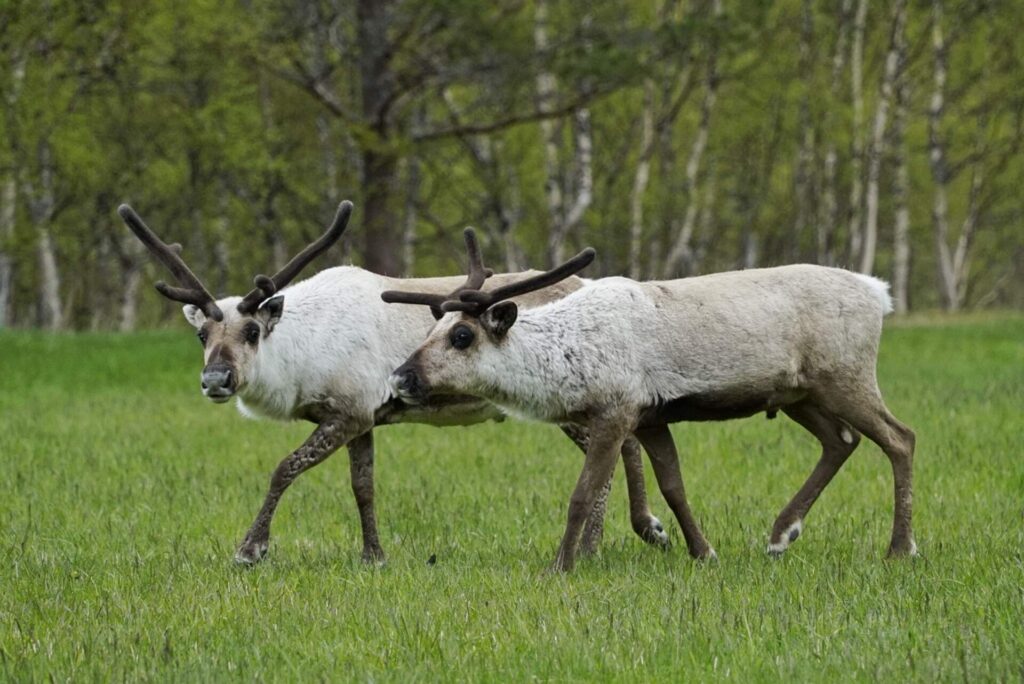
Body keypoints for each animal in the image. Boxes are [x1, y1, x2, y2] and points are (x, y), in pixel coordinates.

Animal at [117, 201, 668, 565]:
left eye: (251, 331)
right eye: (201, 334)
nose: (215, 379)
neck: (303, 346)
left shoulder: (348, 411)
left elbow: (283, 469)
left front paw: (251, 549)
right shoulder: (361, 418)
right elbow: (363, 486)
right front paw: (373, 555)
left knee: (620, 447)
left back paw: (616, 541)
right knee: (624, 445)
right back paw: (633, 533)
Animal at [383, 241, 917, 572]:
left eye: (462, 335)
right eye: (433, 327)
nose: (400, 377)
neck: (568, 354)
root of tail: (879, 293)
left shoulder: (616, 412)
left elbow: (582, 495)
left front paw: (560, 566)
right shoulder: (652, 418)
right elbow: (674, 487)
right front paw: (703, 552)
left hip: (845, 376)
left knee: (900, 438)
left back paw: (899, 549)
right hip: (799, 394)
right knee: (841, 439)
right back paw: (781, 534)